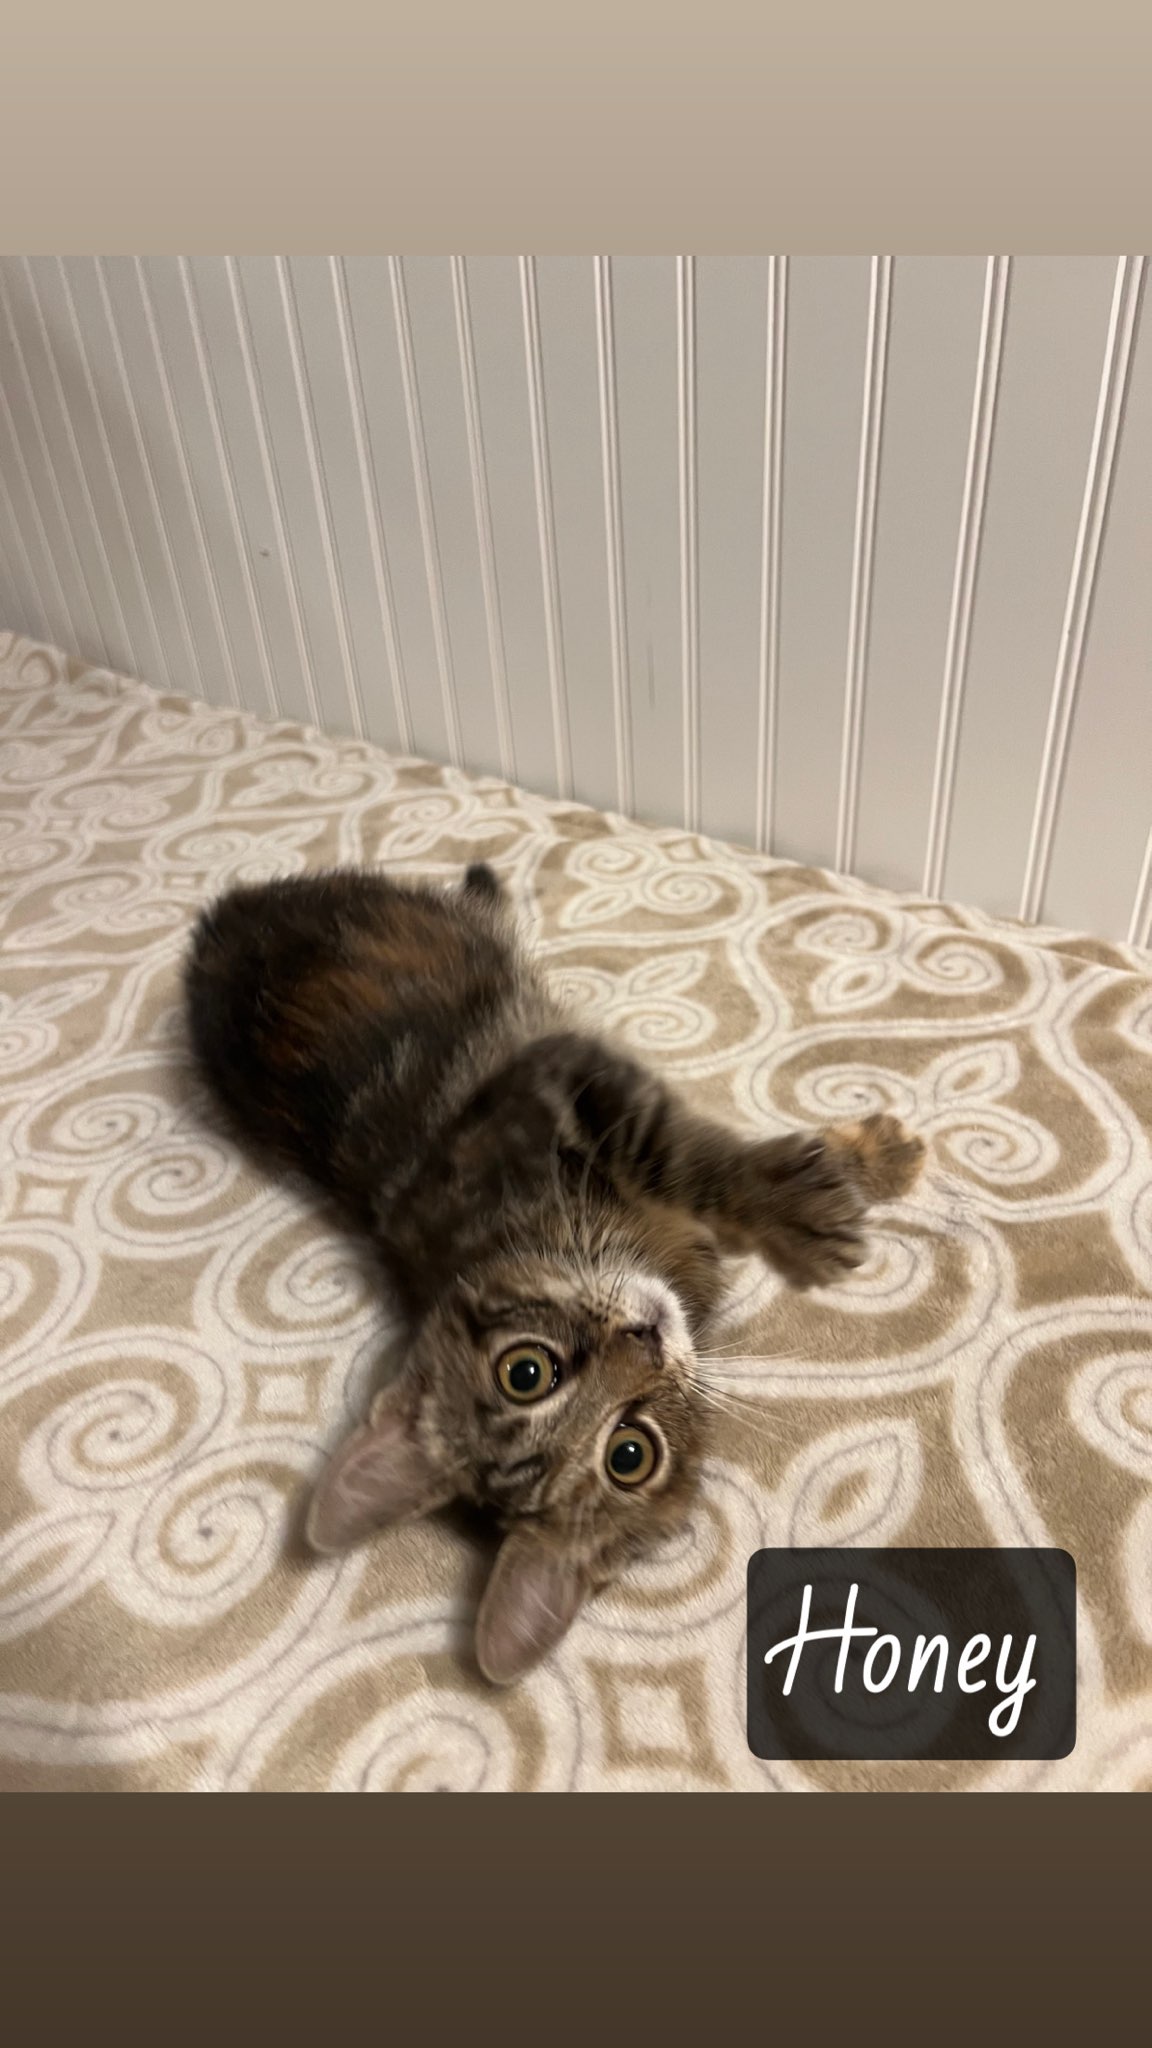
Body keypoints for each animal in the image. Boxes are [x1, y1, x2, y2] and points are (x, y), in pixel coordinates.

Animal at [184, 860, 924, 1684]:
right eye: (629, 1455)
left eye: (525, 1372)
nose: (645, 1342)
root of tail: (217, 926)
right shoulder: (562, 1080)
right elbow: (685, 1156)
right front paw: (835, 1185)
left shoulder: (559, 1079)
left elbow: (685, 1157)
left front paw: (845, 1175)